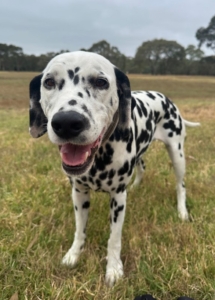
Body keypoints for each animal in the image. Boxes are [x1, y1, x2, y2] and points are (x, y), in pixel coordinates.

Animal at [28, 51, 200, 286]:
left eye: (101, 82)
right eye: (49, 82)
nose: (67, 122)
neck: (100, 155)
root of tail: (165, 98)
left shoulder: (118, 198)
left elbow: (114, 239)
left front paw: (114, 268)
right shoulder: (79, 194)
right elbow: (79, 231)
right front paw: (74, 255)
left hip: (177, 154)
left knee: (180, 186)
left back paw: (182, 211)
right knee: (142, 166)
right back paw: (136, 186)